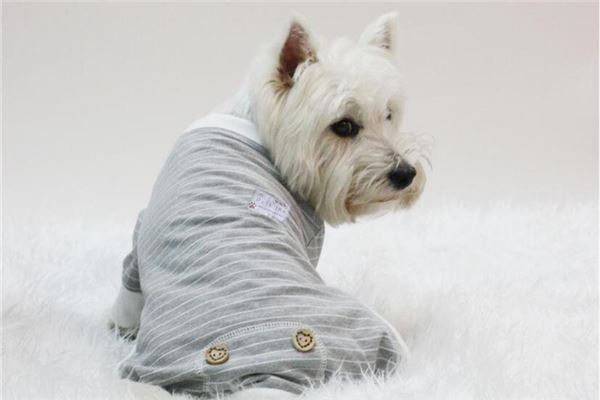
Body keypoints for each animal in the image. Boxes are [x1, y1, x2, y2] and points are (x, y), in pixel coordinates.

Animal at [110, 12, 427, 398]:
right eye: (343, 126)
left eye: (388, 115)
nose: (406, 173)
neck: (256, 125)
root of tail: (260, 371)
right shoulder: (309, 238)